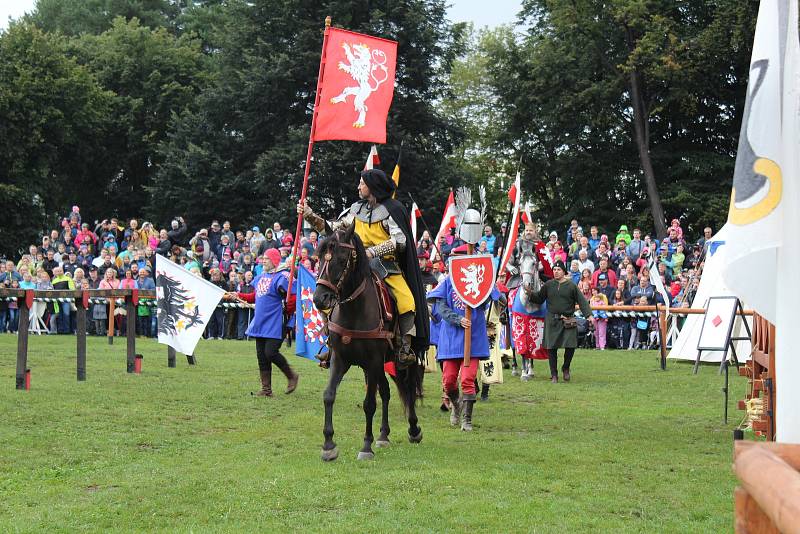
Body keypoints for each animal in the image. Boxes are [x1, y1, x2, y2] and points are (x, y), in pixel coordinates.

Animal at [314, 224, 424, 462]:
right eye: (318, 257)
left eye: (342, 258)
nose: (320, 298)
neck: (354, 309)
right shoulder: (340, 359)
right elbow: (328, 395)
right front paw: (328, 445)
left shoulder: (373, 361)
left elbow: (369, 404)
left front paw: (366, 446)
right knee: (387, 392)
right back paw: (383, 435)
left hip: (399, 361)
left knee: (409, 390)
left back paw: (413, 429)